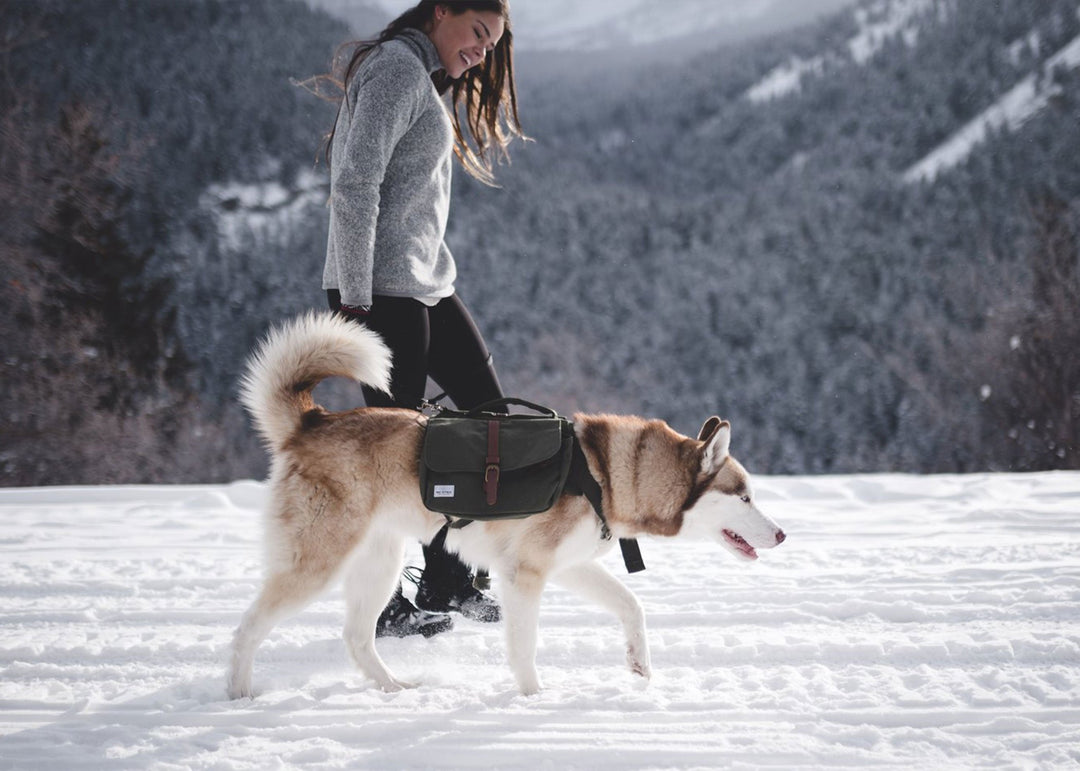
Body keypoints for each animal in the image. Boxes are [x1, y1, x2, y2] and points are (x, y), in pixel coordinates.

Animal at [225, 313, 786, 695]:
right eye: (744, 496)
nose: (782, 534)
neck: (606, 473)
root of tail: (312, 422)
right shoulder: (525, 575)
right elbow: (524, 647)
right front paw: (533, 697)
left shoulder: (568, 566)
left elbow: (632, 605)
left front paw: (639, 664)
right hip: (317, 564)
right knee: (247, 628)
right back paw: (239, 693)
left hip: (376, 565)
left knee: (357, 638)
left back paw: (394, 689)